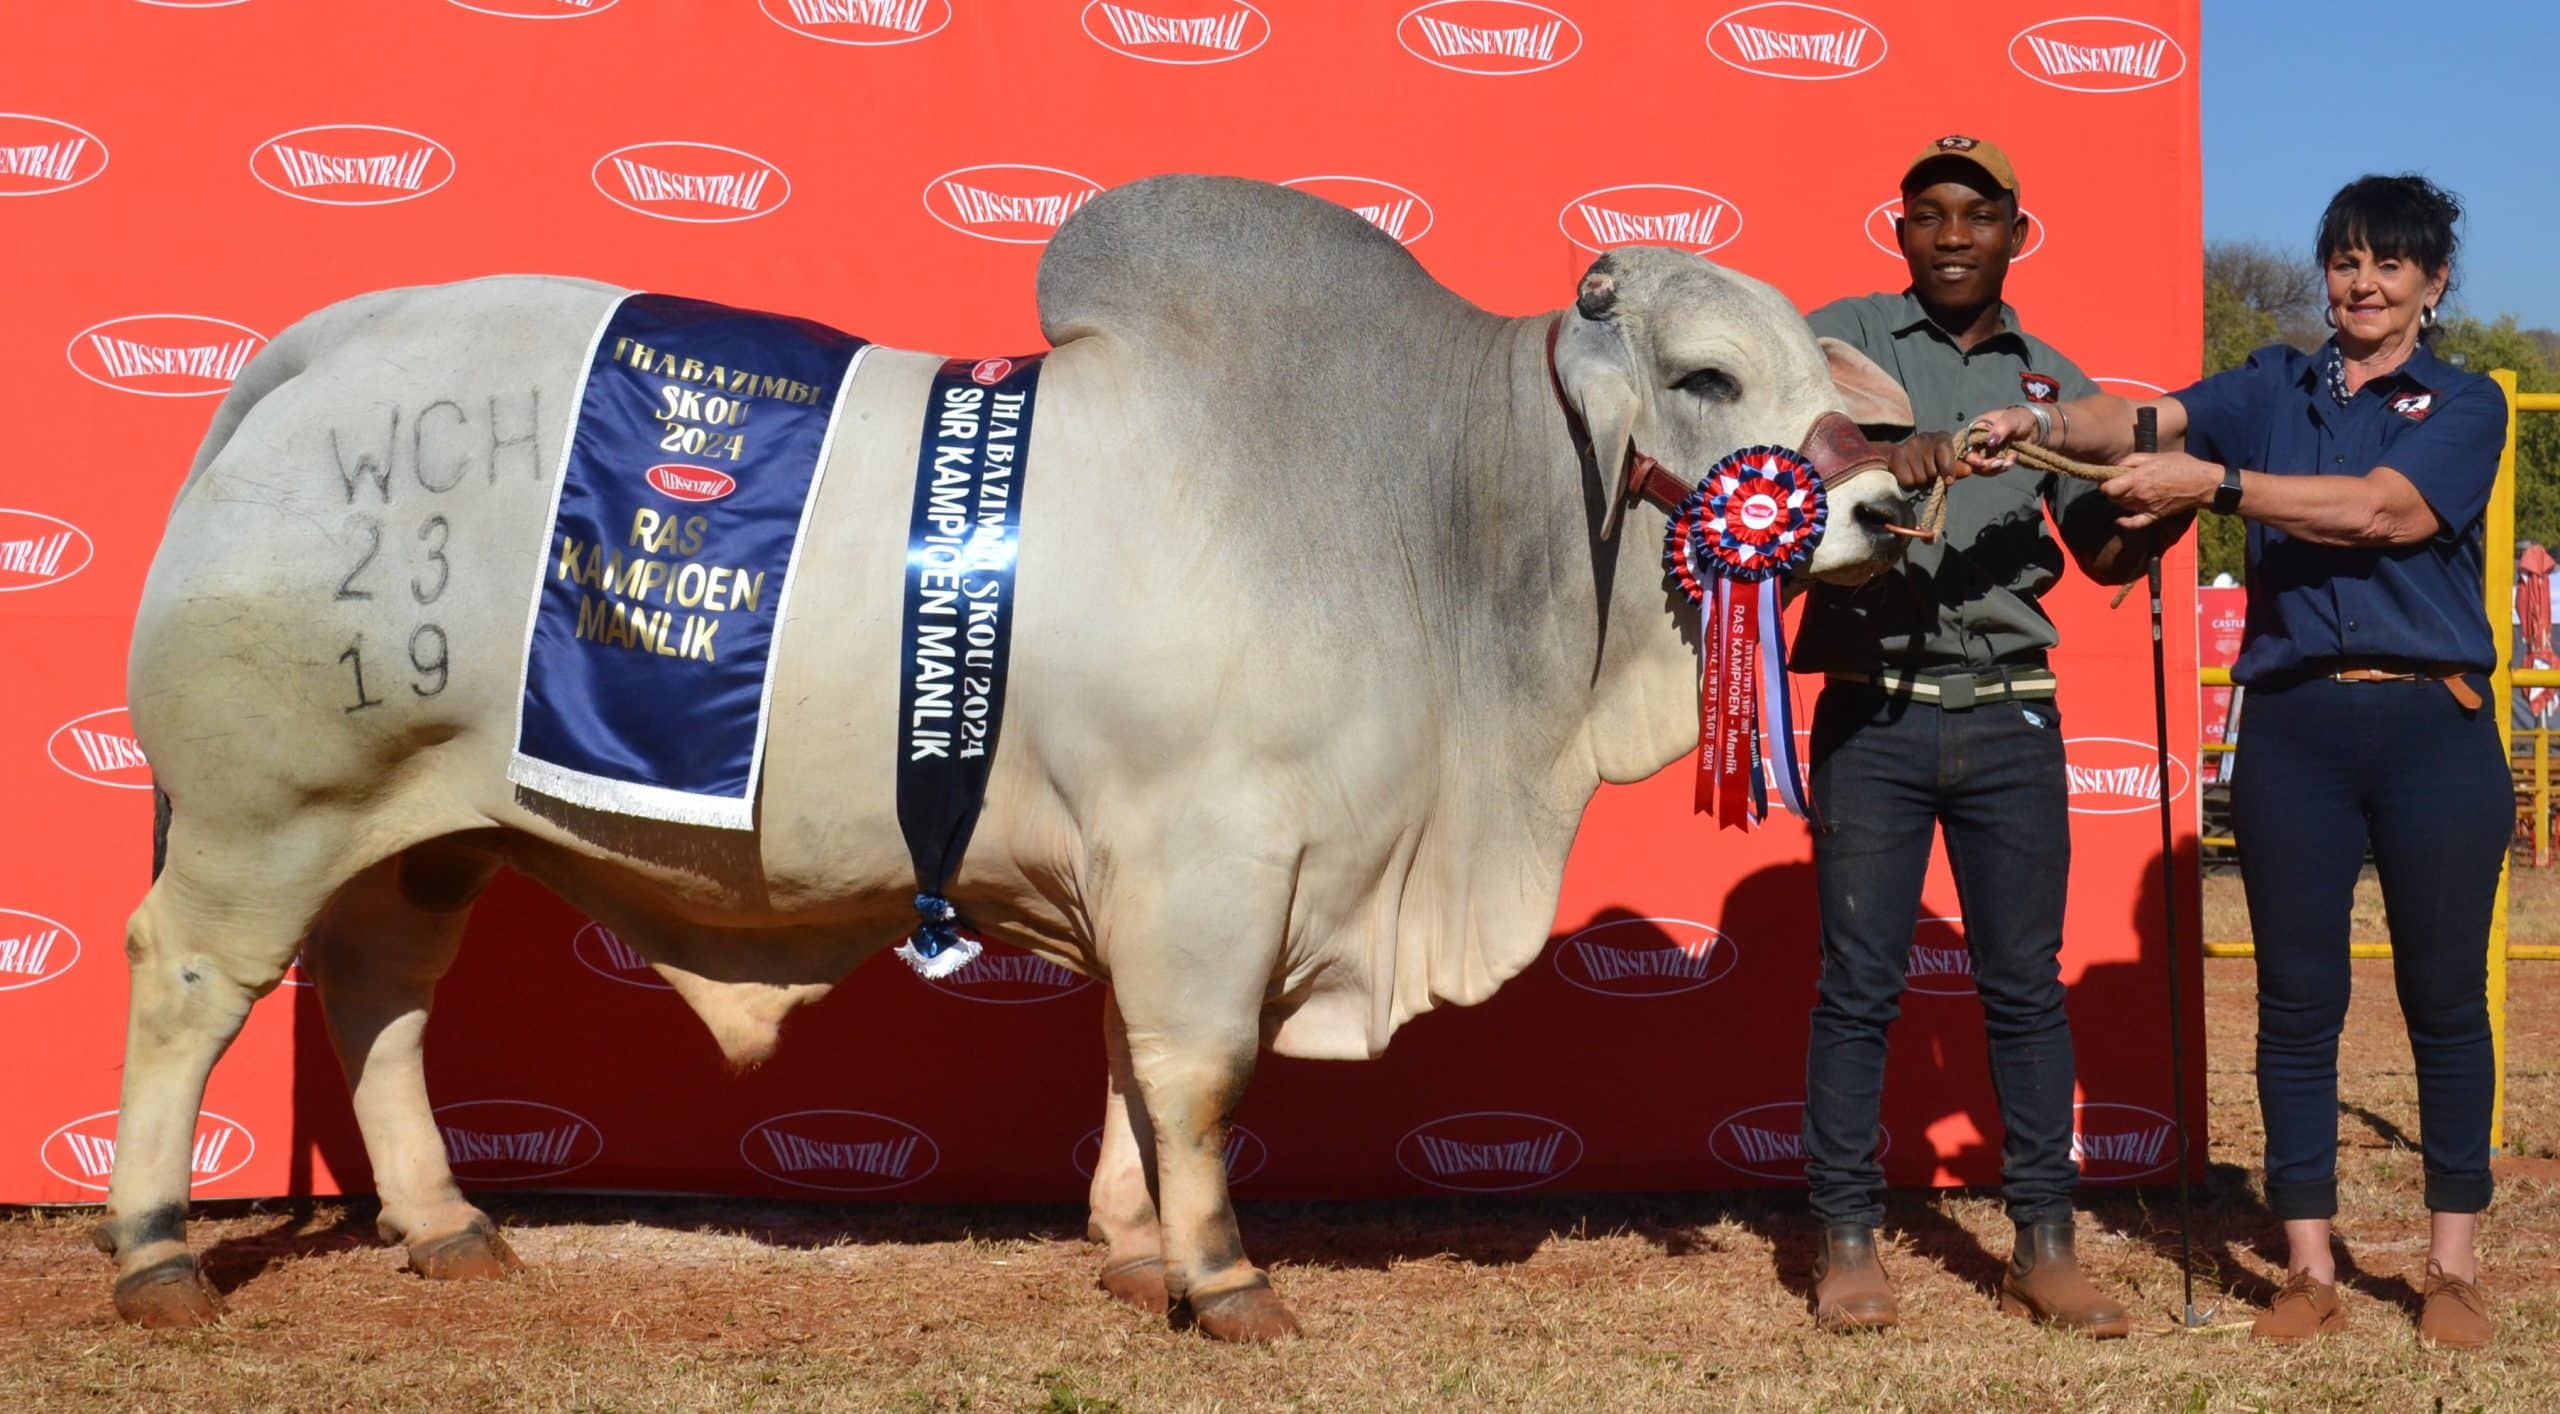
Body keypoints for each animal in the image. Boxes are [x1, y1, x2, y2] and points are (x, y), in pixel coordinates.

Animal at [99, 174, 1914, 1332]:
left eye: (1817, 368)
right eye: (1705, 374)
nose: (1892, 508)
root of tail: (323, 353)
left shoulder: (1150, 873)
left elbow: (1126, 1060)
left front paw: (1131, 1245)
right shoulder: (1214, 858)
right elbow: (1197, 1068)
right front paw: (1224, 1278)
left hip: (423, 826)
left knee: (379, 990)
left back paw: (447, 1225)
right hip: (267, 810)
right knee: (191, 983)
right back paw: (155, 1255)